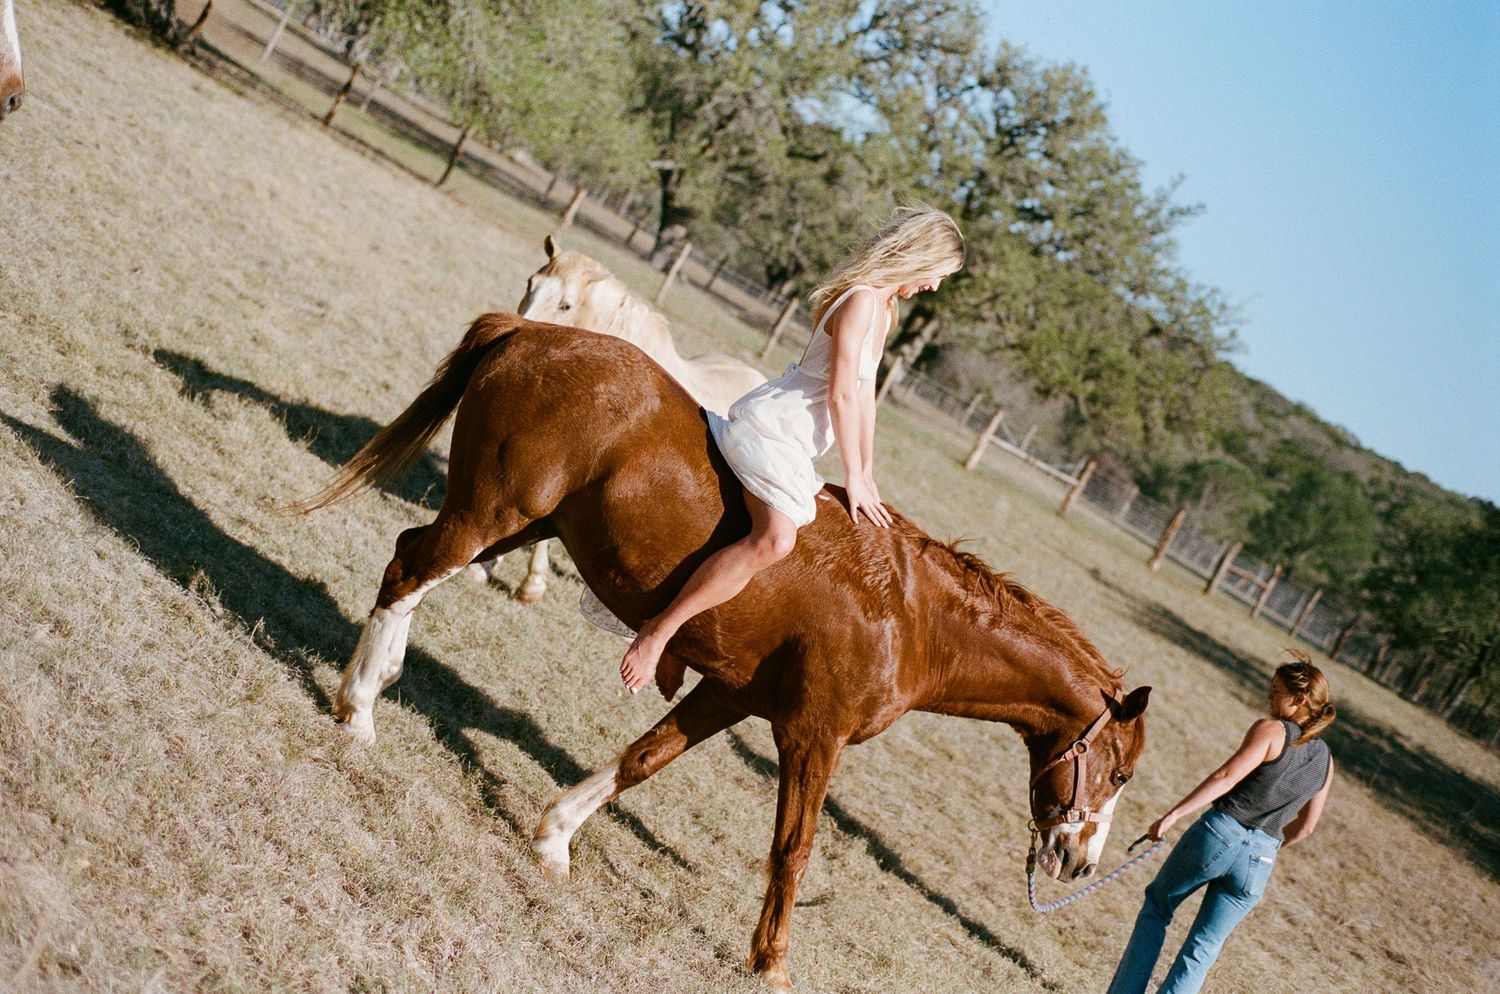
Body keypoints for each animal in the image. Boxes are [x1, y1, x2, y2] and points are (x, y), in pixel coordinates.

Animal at [301, 314, 1150, 991]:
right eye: (1119, 773)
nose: (1078, 862)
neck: (909, 615)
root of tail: (532, 330)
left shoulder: (731, 695)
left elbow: (642, 761)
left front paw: (554, 839)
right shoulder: (813, 737)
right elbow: (794, 849)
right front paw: (771, 962)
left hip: (519, 524)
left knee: (413, 565)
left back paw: (375, 685)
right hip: (492, 511)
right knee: (409, 573)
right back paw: (360, 710)